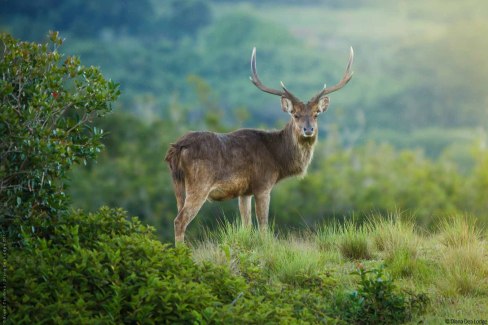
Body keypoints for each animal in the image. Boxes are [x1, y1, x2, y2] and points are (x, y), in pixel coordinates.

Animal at [166, 46, 352, 242]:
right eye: (295, 114)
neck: (278, 160)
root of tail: (177, 147)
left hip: (177, 182)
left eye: (316, 114)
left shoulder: (244, 192)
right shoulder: (263, 184)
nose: (308, 129)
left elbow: (246, 226)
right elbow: (263, 225)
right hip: (199, 182)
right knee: (180, 220)